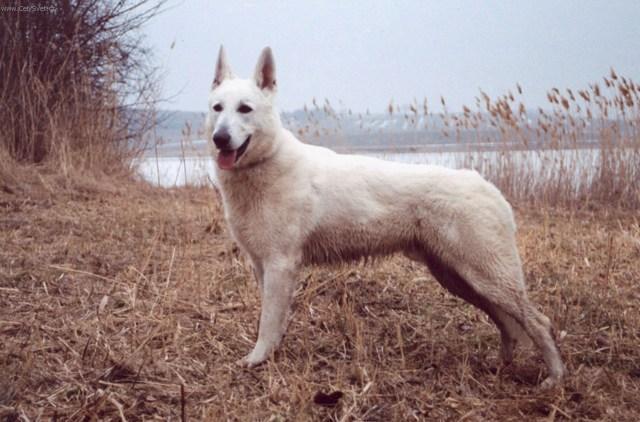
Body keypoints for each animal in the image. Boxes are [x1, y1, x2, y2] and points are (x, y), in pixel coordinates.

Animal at [205, 47, 564, 390]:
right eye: (217, 108)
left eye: (245, 109)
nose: (219, 139)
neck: (265, 163)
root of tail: (489, 187)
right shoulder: (262, 266)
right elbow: (273, 321)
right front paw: (272, 354)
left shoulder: (281, 265)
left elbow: (267, 322)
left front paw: (257, 359)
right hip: (460, 278)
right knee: (508, 324)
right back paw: (500, 366)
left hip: (485, 276)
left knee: (538, 322)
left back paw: (555, 378)